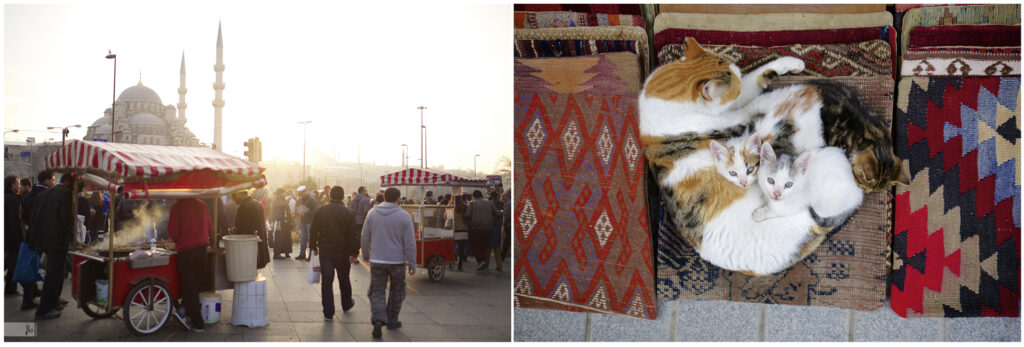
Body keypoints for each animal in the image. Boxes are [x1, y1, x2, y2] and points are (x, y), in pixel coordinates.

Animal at [634, 38, 909, 276]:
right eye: (732, 90)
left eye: (736, 80)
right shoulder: (733, 118)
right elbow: (753, 106)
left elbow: (755, 79)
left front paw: (789, 64)